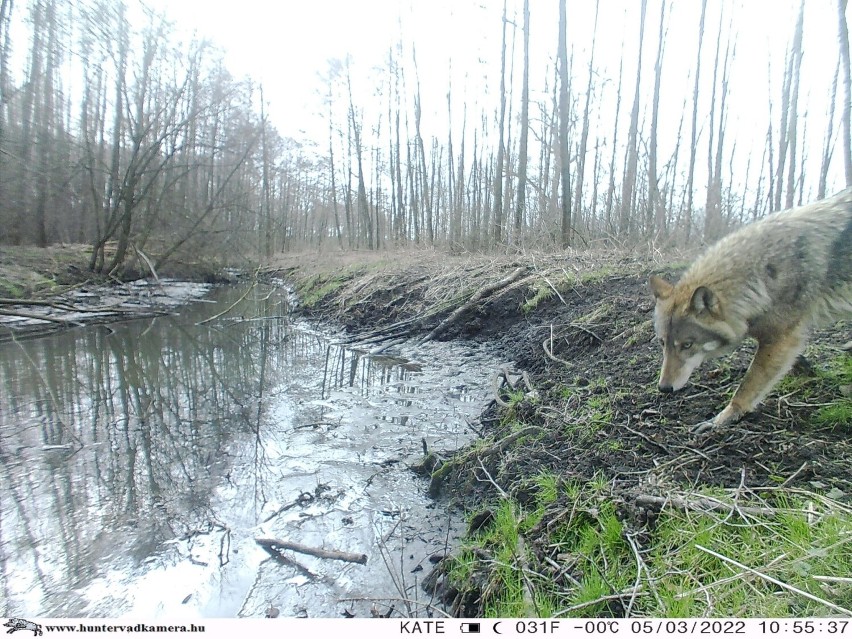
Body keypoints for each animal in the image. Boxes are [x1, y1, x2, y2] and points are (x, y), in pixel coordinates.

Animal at [648, 188, 848, 432]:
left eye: (687, 345)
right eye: (662, 343)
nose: (664, 388)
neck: (763, 275)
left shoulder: (781, 339)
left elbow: (747, 385)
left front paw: (721, 419)